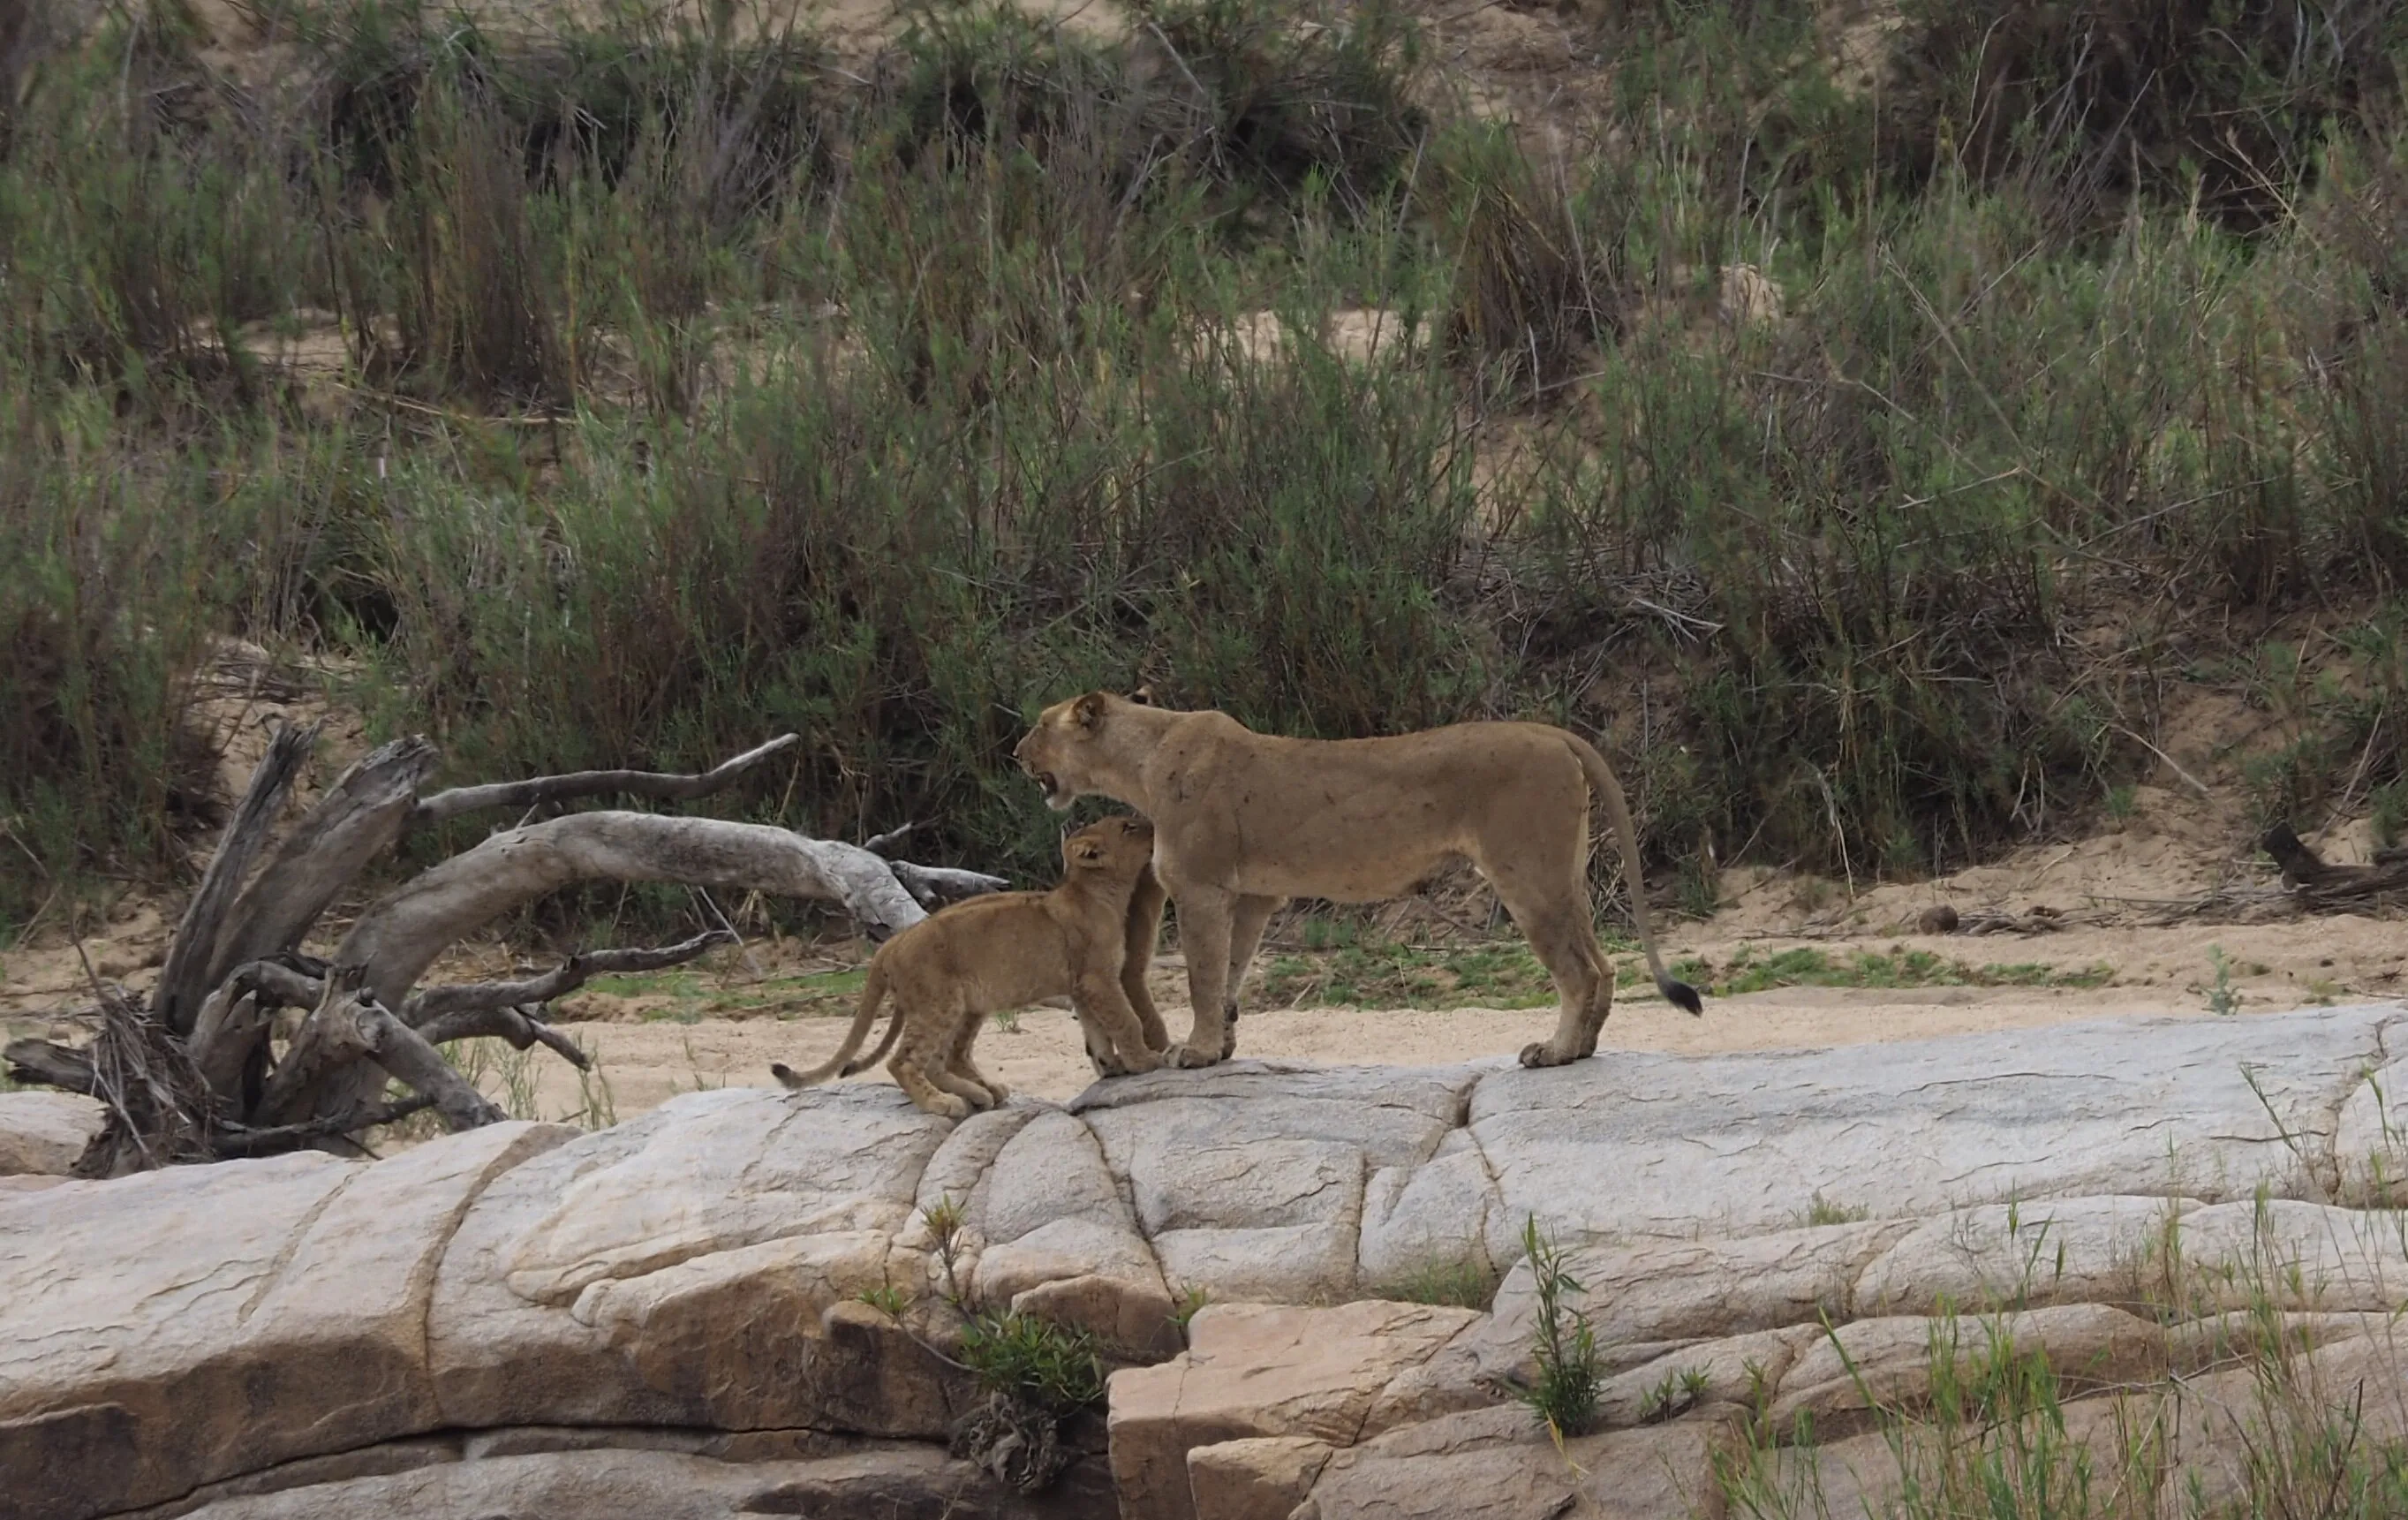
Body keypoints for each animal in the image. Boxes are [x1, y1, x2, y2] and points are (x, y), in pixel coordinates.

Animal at [769, 815, 1170, 1117]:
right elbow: (1126, 1020)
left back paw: (982, 1093)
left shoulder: (1081, 984)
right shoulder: (1098, 979)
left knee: (945, 1059)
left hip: (965, 1007)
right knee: (906, 1062)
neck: (1099, 893)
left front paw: (1112, 1066)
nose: (1154, 823)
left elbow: (1097, 1032)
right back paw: (943, 1104)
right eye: (1129, 827)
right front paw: (1145, 1060)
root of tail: (892, 945)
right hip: (939, 1003)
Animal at [1011, 690, 1704, 1070]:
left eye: (1041, 725)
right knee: (1602, 964)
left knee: (1578, 971)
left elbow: (1202, 977)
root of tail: (1551, 731)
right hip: (1563, 875)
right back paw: (1581, 1049)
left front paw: (1197, 1051)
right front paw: (1223, 1045)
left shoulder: (1200, 885)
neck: (1140, 758)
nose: (1015, 753)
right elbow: (1231, 974)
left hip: (1526, 876)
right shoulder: (1254, 895)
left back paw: (1555, 1053)